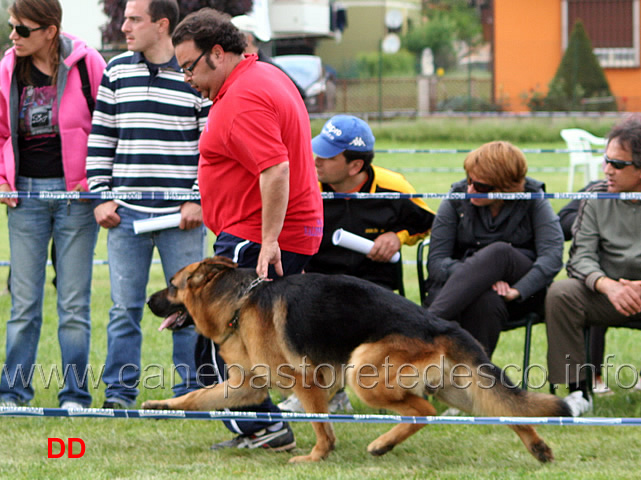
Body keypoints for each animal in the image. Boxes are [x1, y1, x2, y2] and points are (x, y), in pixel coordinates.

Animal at [142, 256, 568, 464]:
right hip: (460, 391)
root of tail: (439, 323)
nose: (147, 301)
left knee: (423, 411)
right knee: (503, 411)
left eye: (172, 286)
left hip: (363, 371)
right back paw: (538, 448)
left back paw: (382, 443)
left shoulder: (306, 383)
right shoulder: (245, 387)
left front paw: (316, 457)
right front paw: (161, 405)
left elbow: (321, 426)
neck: (240, 303)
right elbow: (198, 398)